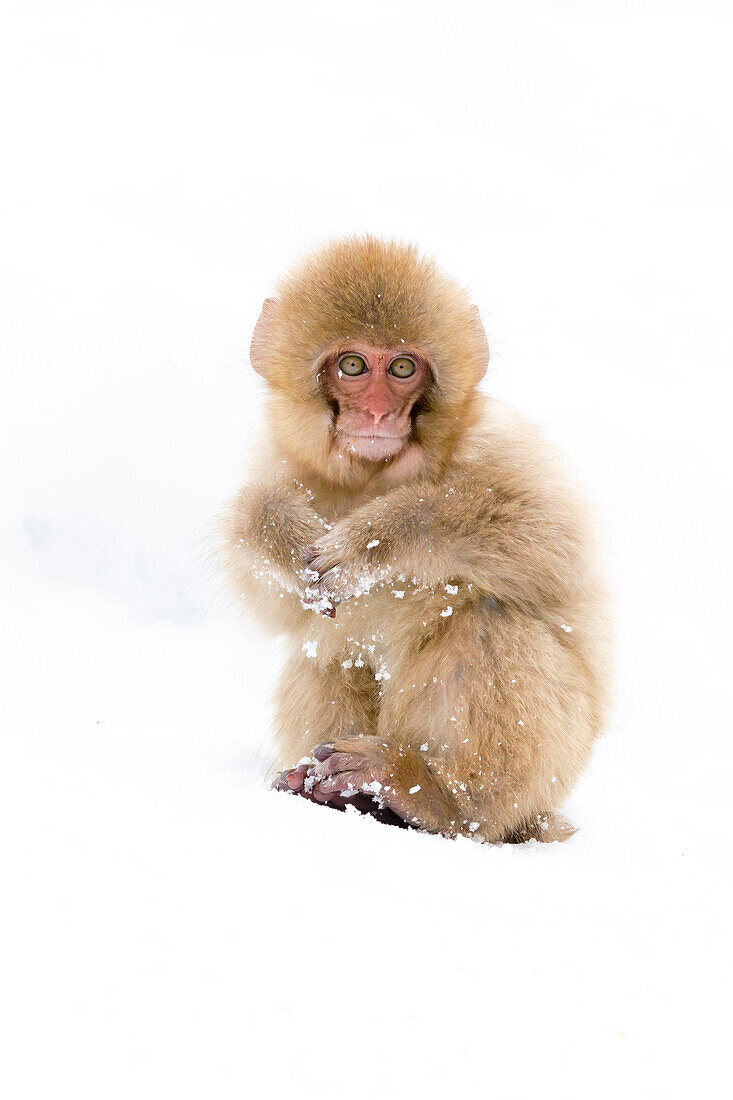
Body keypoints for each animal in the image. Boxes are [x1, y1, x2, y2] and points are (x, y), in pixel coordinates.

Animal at [224, 234, 611, 840]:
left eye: (404, 367)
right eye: (353, 365)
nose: (379, 413)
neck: (378, 475)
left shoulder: (496, 439)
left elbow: (551, 537)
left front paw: (377, 539)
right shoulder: (284, 459)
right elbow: (281, 607)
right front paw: (276, 533)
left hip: (550, 771)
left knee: (487, 619)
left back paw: (431, 796)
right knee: (325, 652)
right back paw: (339, 796)